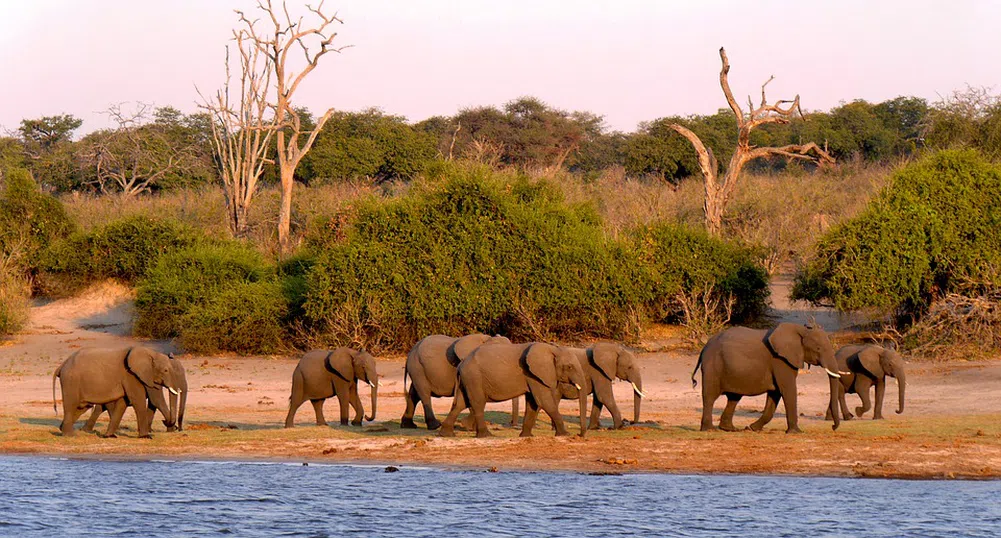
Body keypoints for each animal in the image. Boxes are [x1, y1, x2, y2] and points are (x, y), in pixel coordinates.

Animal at [52, 346, 183, 438]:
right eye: (165, 370)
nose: (167, 422)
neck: (149, 352)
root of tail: (61, 366)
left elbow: (122, 403)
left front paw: (109, 436)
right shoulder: (130, 375)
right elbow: (139, 400)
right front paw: (146, 436)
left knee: (81, 407)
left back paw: (63, 429)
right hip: (71, 381)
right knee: (71, 405)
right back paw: (70, 435)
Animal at [438, 342, 584, 438]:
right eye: (570, 367)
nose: (579, 434)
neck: (552, 349)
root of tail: (461, 363)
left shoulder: (532, 376)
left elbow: (533, 403)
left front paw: (526, 436)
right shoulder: (533, 374)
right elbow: (544, 402)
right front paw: (565, 434)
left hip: (467, 380)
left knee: (460, 404)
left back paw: (446, 434)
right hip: (474, 378)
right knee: (477, 403)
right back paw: (487, 436)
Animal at [696, 322, 844, 432]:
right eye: (818, 349)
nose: (832, 426)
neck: (801, 329)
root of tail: (705, 347)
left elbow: (775, 394)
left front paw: (752, 428)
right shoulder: (780, 360)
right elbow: (788, 390)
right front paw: (796, 432)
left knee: (734, 398)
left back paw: (730, 429)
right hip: (713, 366)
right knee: (710, 397)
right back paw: (709, 429)